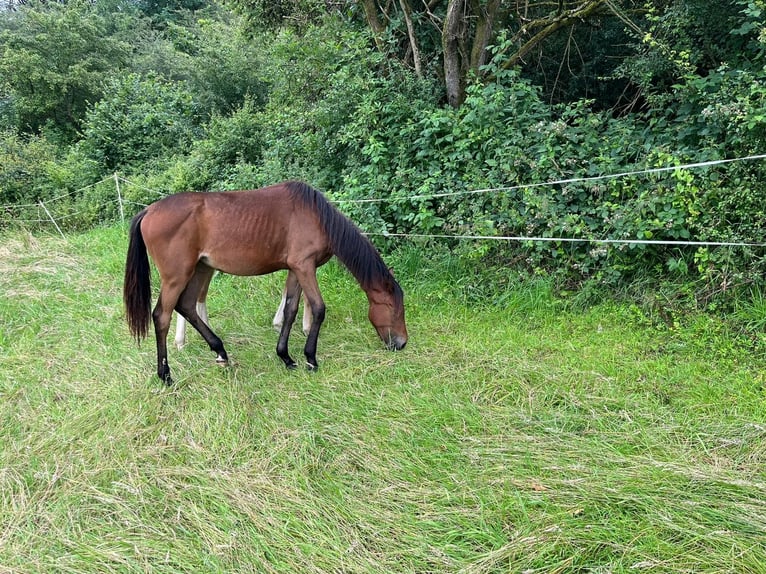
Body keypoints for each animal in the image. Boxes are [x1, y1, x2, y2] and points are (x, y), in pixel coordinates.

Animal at [124, 182, 408, 384]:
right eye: (394, 309)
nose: (401, 343)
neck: (317, 217)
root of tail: (149, 210)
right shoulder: (305, 266)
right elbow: (318, 309)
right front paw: (311, 359)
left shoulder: (296, 269)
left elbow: (291, 309)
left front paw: (286, 357)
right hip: (177, 276)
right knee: (162, 316)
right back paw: (166, 375)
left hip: (201, 269)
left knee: (187, 306)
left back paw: (220, 352)